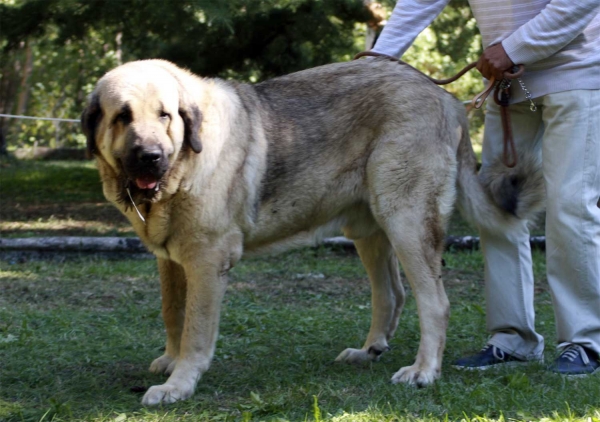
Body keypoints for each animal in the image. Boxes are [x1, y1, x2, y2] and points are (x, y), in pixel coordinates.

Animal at [81, 59, 544, 406]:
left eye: (165, 115)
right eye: (122, 117)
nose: (150, 157)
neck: (182, 168)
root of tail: (445, 99)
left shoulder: (206, 261)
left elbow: (195, 328)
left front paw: (179, 383)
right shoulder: (171, 261)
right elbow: (172, 314)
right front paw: (170, 360)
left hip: (407, 221)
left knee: (435, 302)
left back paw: (423, 371)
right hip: (368, 229)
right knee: (391, 294)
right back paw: (368, 350)